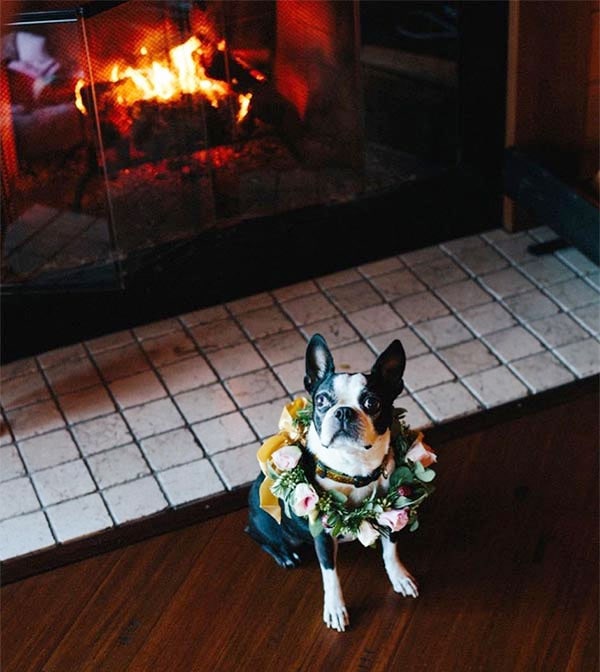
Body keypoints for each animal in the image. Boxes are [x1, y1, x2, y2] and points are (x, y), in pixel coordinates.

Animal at [246, 334, 420, 632]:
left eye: (372, 403)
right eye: (322, 400)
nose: (344, 412)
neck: (353, 469)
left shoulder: (392, 509)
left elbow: (391, 551)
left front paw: (399, 577)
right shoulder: (322, 534)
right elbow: (330, 575)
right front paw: (335, 609)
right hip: (267, 520)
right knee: (256, 534)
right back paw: (284, 555)